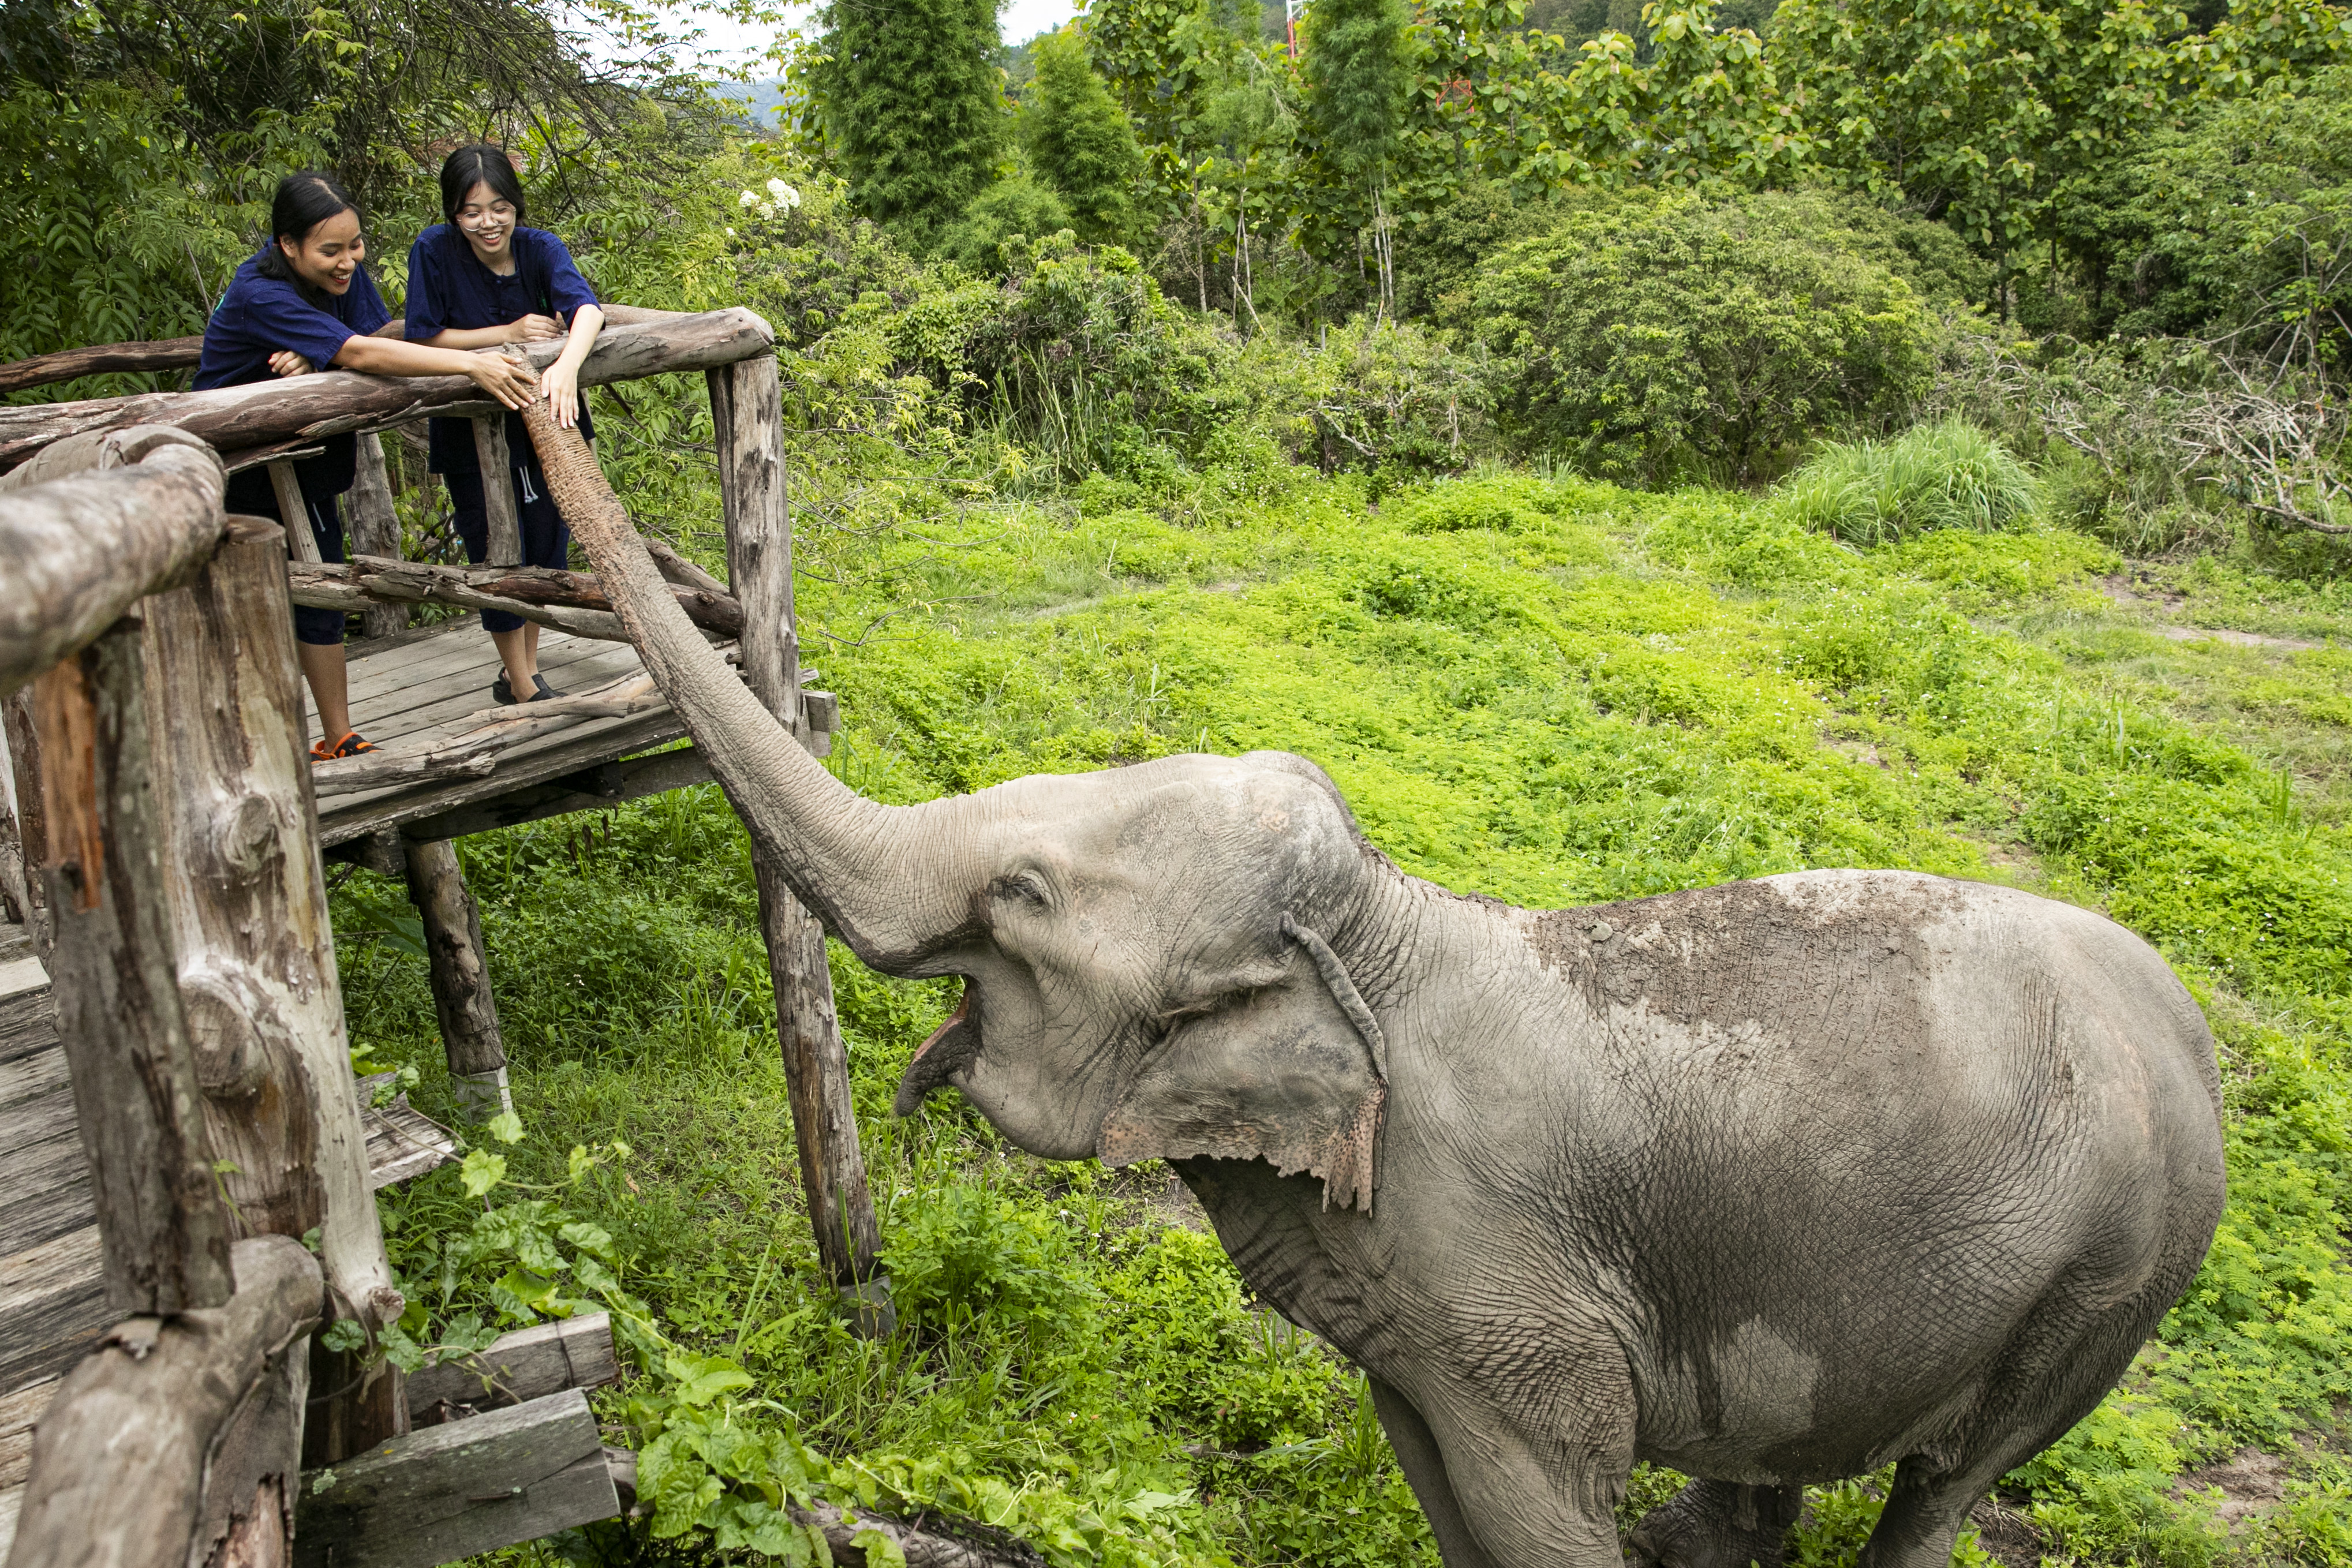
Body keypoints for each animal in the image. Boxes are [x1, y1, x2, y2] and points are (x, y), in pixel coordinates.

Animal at [529, 413, 2220, 1568]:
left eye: (1023, 895)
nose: (519, 364)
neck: (1386, 931)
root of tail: (2193, 1029)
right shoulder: (1412, 1317)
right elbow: (1438, 1484)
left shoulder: (1511, 1297)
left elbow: (1546, 1511)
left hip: (2110, 1282)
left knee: (1950, 1480)